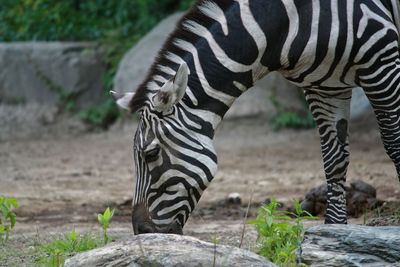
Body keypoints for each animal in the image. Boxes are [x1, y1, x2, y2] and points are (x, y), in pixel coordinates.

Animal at [111, 0, 400, 234]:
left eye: (150, 154)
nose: (141, 232)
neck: (284, 24)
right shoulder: (325, 87)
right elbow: (334, 158)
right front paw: (334, 230)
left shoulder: (382, 62)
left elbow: (394, 145)